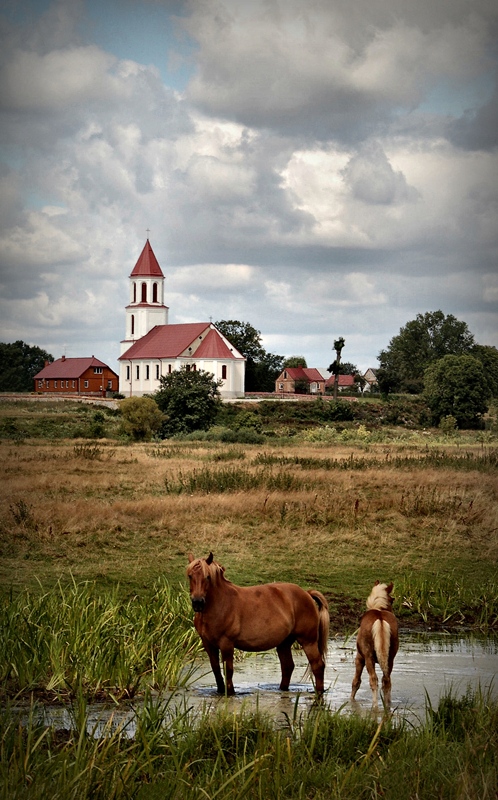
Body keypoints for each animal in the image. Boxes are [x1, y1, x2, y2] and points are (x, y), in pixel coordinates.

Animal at [185, 552, 328, 696]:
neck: (221, 604)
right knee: (288, 666)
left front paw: (230, 693)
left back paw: (319, 692)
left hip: (308, 641)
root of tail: (307, 594)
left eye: (207, 577)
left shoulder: (226, 644)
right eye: (190, 575)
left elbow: (228, 670)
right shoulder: (208, 644)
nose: (197, 602)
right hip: (284, 643)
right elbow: (216, 670)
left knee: (317, 665)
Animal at [352, 580, 398, 708]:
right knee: (386, 681)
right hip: (390, 659)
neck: (378, 608)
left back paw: (375, 706)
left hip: (368, 658)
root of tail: (380, 620)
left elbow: (356, 682)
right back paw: (387, 706)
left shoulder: (359, 658)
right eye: (392, 600)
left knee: (374, 680)